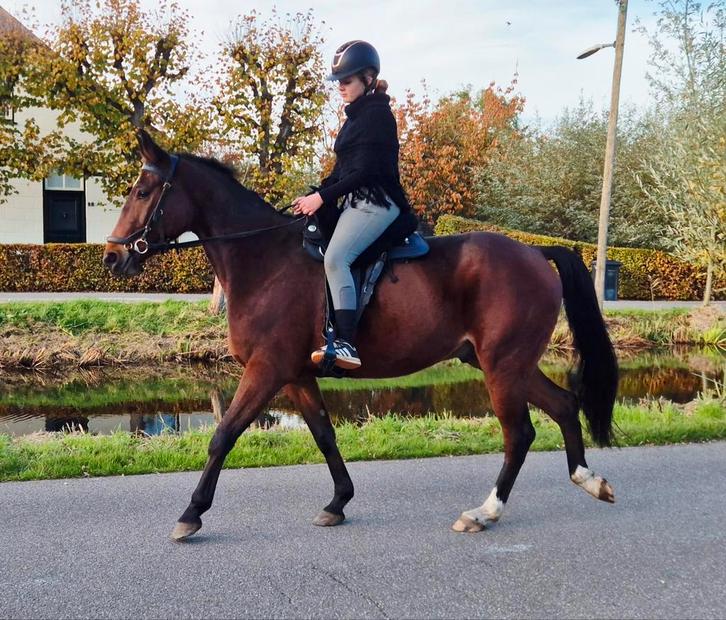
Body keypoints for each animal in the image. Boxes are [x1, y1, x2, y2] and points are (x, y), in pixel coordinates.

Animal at [104, 130, 618, 541]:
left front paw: (191, 513)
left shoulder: (266, 370)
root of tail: (535, 251)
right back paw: (588, 479)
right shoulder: (296, 375)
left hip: (503, 366)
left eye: (143, 190)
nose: (112, 257)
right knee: (563, 405)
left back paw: (484, 512)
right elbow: (324, 435)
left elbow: (224, 434)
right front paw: (338, 502)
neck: (266, 258)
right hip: (506, 363)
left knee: (520, 433)